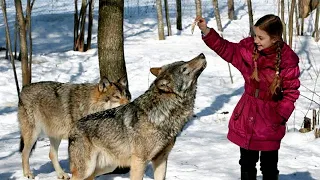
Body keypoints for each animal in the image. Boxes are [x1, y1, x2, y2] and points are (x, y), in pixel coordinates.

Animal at [68, 52, 206, 179]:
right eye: (184, 68)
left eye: (184, 62)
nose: (202, 55)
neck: (163, 114)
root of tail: (74, 127)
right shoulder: (139, 161)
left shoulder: (161, 159)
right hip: (86, 170)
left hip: (104, 168)